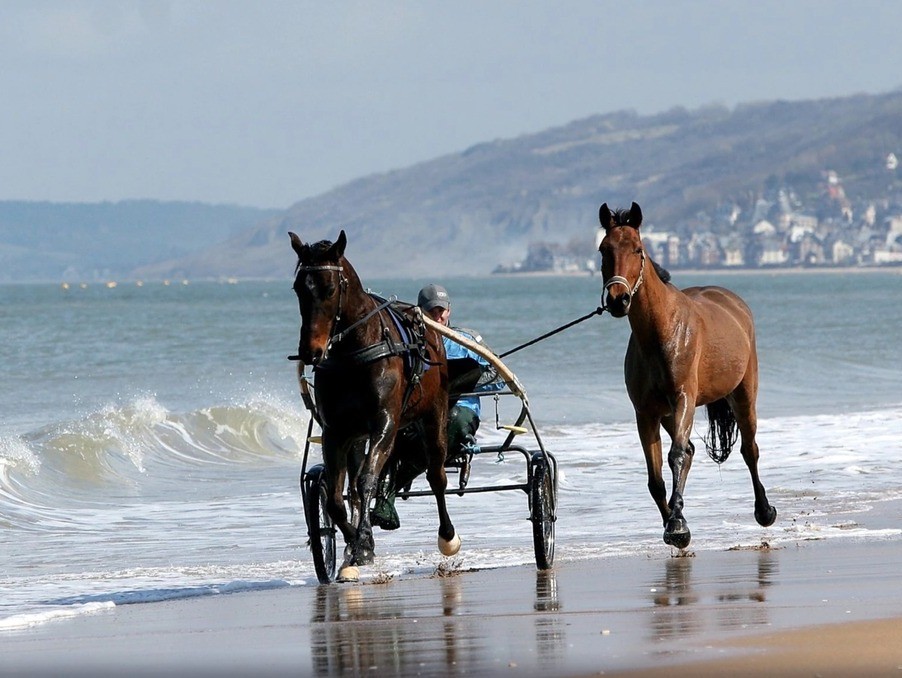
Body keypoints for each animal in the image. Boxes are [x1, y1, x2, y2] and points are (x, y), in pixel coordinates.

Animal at [290, 231, 460, 580]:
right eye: (299, 288)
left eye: (329, 288)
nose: (310, 351)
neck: (354, 353)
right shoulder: (336, 431)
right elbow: (336, 500)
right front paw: (357, 546)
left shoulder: (385, 421)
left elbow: (368, 478)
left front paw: (363, 542)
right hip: (358, 436)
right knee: (354, 490)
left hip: (434, 413)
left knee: (437, 475)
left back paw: (448, 535)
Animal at [600, 201, 776, 548]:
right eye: (603, 250)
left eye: (638, 249)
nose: (618, 299)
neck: (661, 332)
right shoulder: (646, 413)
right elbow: (656, 477)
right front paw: (674, 522)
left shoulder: (683, 398)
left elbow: (677, 456)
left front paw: (677, 524)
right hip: (670, 414)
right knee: (694, 451)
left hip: (742, 395)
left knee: (749, 450)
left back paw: (764, 510)